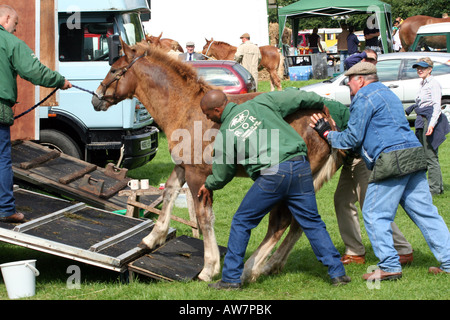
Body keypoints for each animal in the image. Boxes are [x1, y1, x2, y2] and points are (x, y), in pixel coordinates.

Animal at [92, 39, 344, 282]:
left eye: (113, 70)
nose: (96, 98)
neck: (186, 108)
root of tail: (327, 121)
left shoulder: (197, 175)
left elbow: (204, 217)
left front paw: (209, 267)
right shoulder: (182, 166)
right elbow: (170, 192)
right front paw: (153, 238)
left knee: (281, 223)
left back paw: (250, 269)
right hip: (308, 181)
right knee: (300, 222)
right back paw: (271, 265)